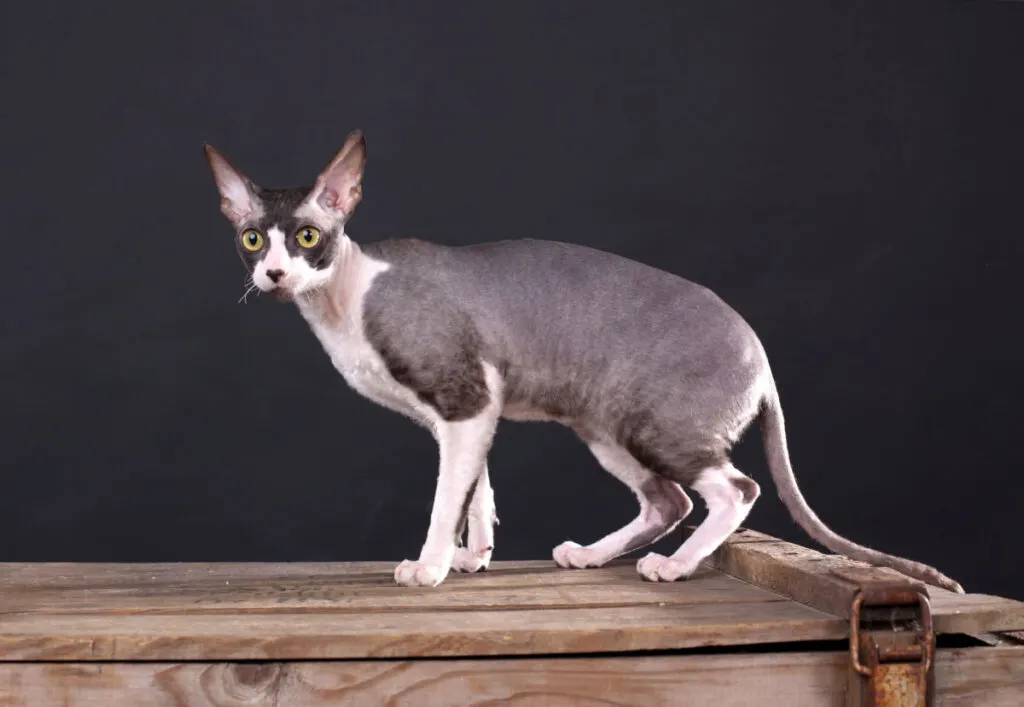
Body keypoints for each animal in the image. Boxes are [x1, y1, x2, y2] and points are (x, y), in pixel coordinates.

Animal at [203, 128, 962, 590]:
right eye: (252, 239)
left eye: (308, 236)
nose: (274, 274)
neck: (344, 300)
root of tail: (760, 350)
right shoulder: (471, 410)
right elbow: (479, 489)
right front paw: (474, 555)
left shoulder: (464, 397)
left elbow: (448, 497)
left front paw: (430, 566)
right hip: (604, 425)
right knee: (668, 498)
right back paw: (591, 554)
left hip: (657, 425)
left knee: (733, 490)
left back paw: (672, 567)